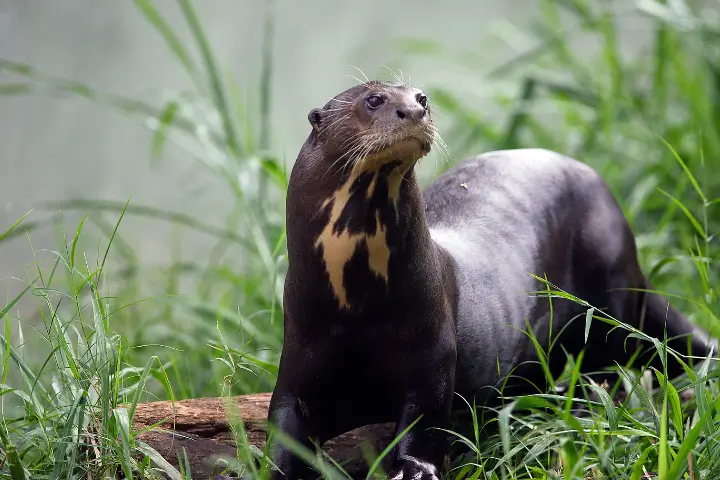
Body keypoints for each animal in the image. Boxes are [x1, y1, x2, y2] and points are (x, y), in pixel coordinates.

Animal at [266, 80, 716, 478]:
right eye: (374, 99)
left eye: (420, 96)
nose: (414, 110)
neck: (354, 308)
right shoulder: (300, 350)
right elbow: (283, 424)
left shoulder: (431, 351)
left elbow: (426, 419)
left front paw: (413, 471)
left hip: (608, 280)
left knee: (616, 358)